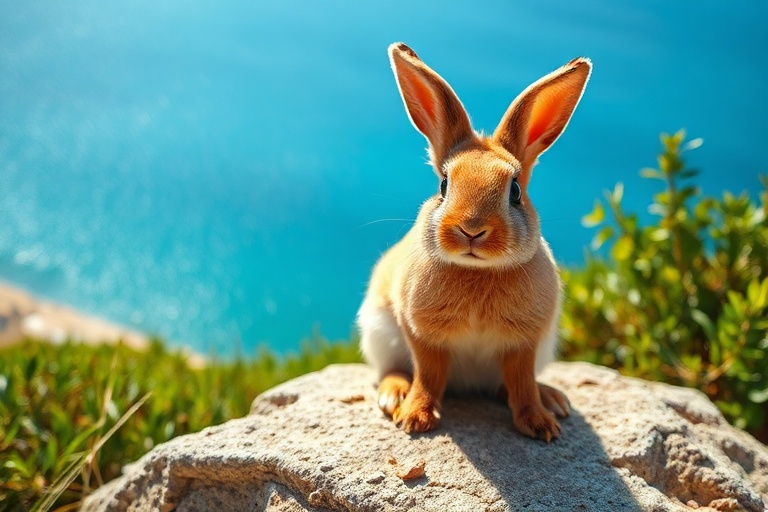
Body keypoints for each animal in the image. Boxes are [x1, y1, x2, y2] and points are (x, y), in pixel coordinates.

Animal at [358, 42, 591, 441]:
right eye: (443, 185)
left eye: (515, 191)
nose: (471, 229)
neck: (477, 271)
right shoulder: (422, 335)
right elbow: (428, 375)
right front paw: (415, 418)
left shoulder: (525, 343)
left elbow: (521, 382)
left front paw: (541, 425)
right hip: (378, 331)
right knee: (392, 371)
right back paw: (394, 396)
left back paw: (553, 400)